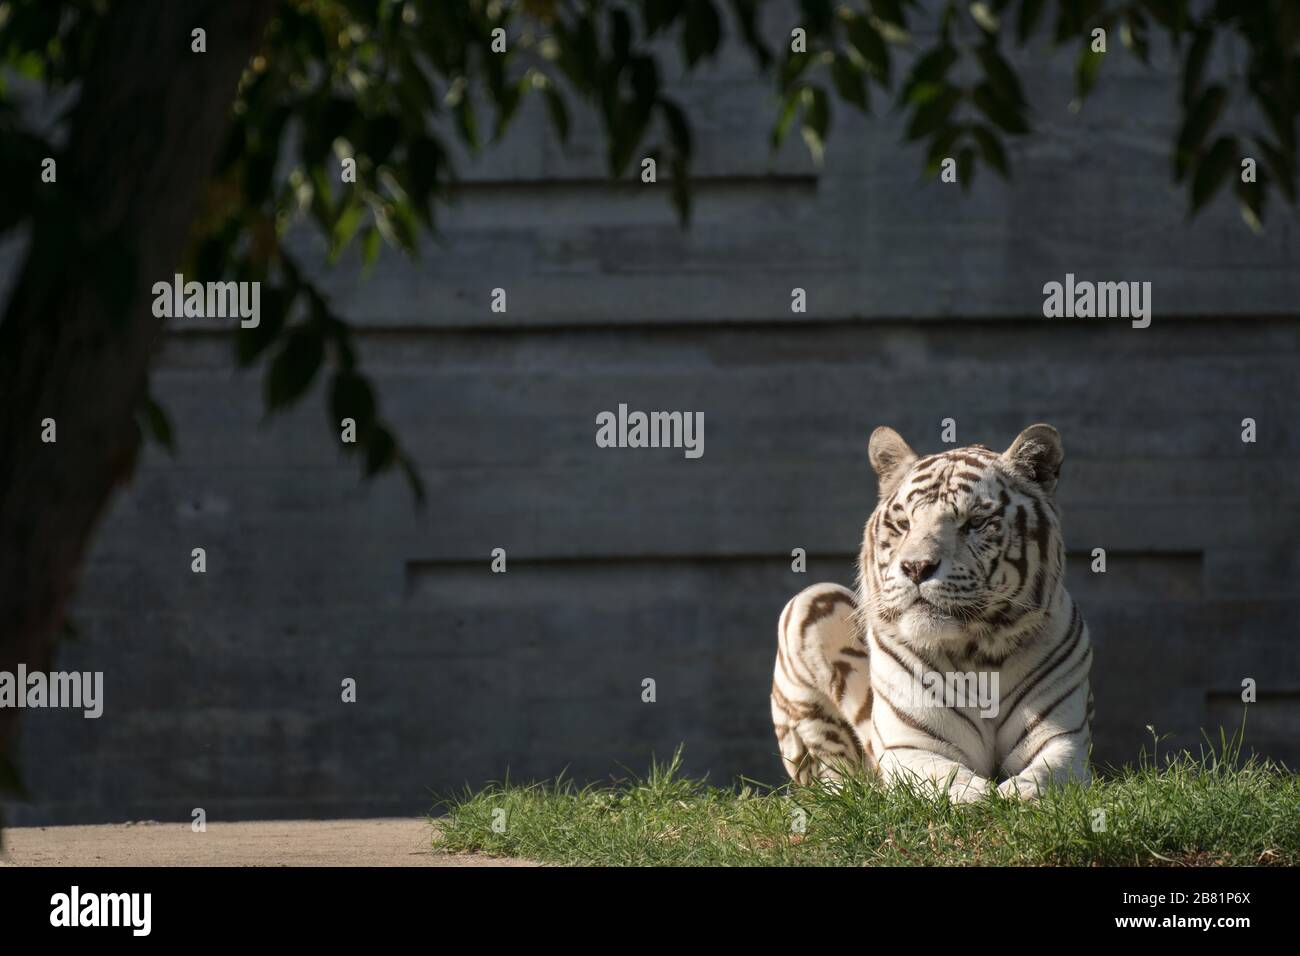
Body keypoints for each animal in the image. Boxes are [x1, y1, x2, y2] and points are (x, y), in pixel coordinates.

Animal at [769, 424, 1093, 801]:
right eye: (903, 523)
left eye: (976, 522)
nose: (916, 567)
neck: (982, 655)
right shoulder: (912, 747)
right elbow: (949, 779)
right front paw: (981, 797)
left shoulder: (1063, 740)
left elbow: (1045, 776)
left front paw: (1016, 794)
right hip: (810, 601)